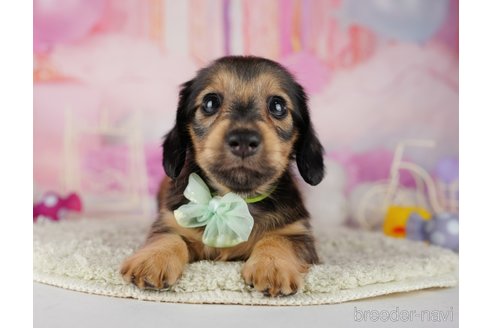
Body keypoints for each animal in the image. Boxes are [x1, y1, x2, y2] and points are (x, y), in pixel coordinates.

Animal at [121, 56, 324, 298]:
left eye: (278, 106)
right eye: (210, 102)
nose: (243, 139)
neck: (234, 199)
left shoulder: (297, 232)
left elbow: (277, 239)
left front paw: (272, 266)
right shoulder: (172, 220)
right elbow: (170, 237)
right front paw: (153, 260)